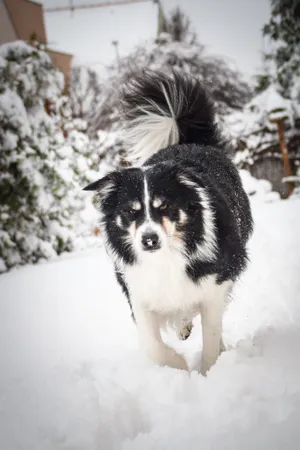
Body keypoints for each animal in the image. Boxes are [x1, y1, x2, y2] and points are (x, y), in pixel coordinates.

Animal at [84, 69, 253, 372]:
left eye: (164, 206)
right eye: (131, 211)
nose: (149, 240)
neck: (168, 256)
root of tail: (189, 142)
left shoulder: (215, 282)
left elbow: (211, 336)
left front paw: (207, 373)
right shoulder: (140, 291)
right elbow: (152, 346)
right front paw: (178, 367)